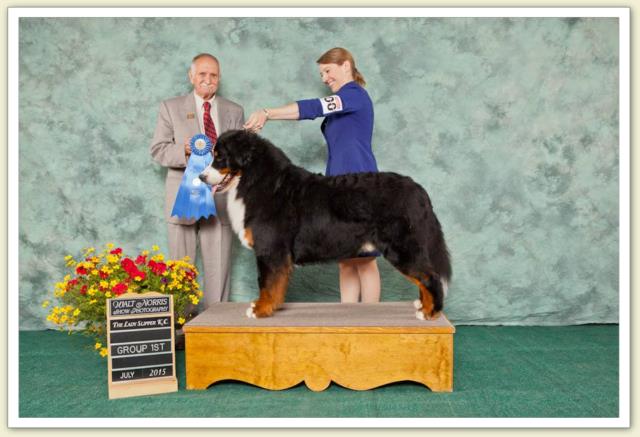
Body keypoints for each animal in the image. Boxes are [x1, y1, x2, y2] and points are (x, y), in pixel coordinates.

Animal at [199, 129, 450, 320]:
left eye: (219, 157)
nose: (201, 177)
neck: (257, 182)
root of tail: (417, 189)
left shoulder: (269, 249)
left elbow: (267, 282)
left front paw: (260, 309)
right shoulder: (276, 253)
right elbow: (276, 284)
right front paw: (271, 307)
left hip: (402, 247)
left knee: (430, 276)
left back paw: (430, 312)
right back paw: (423, 305)